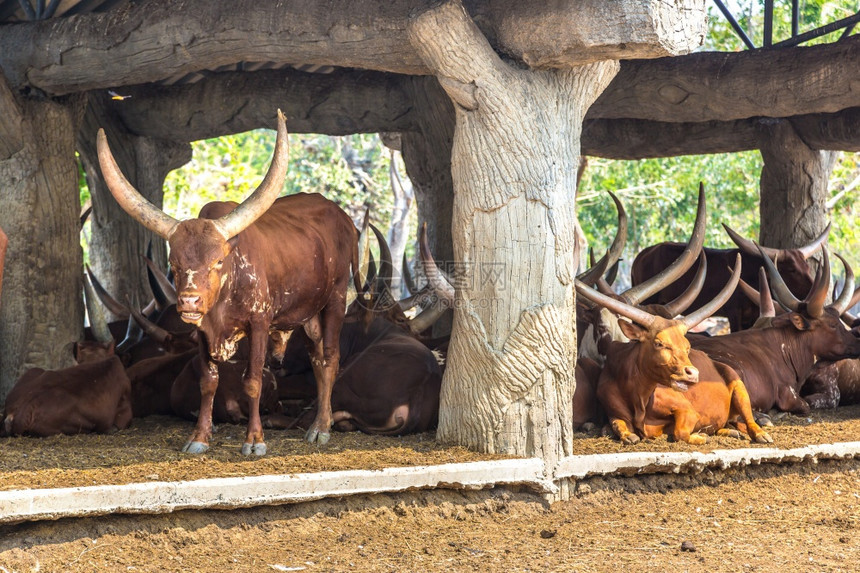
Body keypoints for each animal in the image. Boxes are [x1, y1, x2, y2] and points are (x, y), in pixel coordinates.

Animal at [98, 109, 362, 454]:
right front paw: (199, 438)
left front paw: (254, 441)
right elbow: (208, 381)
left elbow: (253, 381)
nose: (189, 300)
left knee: (330, 357)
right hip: (308, 314)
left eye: (218, 261)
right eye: (174, 263)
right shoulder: (201, 332)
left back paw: (320, 428)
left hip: (336, 298)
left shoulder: (260, 323)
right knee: (317, 359)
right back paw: (321, 421)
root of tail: (344, 219)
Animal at [576, 255, 768, 446]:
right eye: (659, 343)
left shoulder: (687, 410)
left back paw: (760, 432)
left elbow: (680, 432)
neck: (639, 399)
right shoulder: (614, 413)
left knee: (747, 419)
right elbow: (619, 427)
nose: (693, 373)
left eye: (687, 346)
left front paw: (700, 436)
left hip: (739, 387)